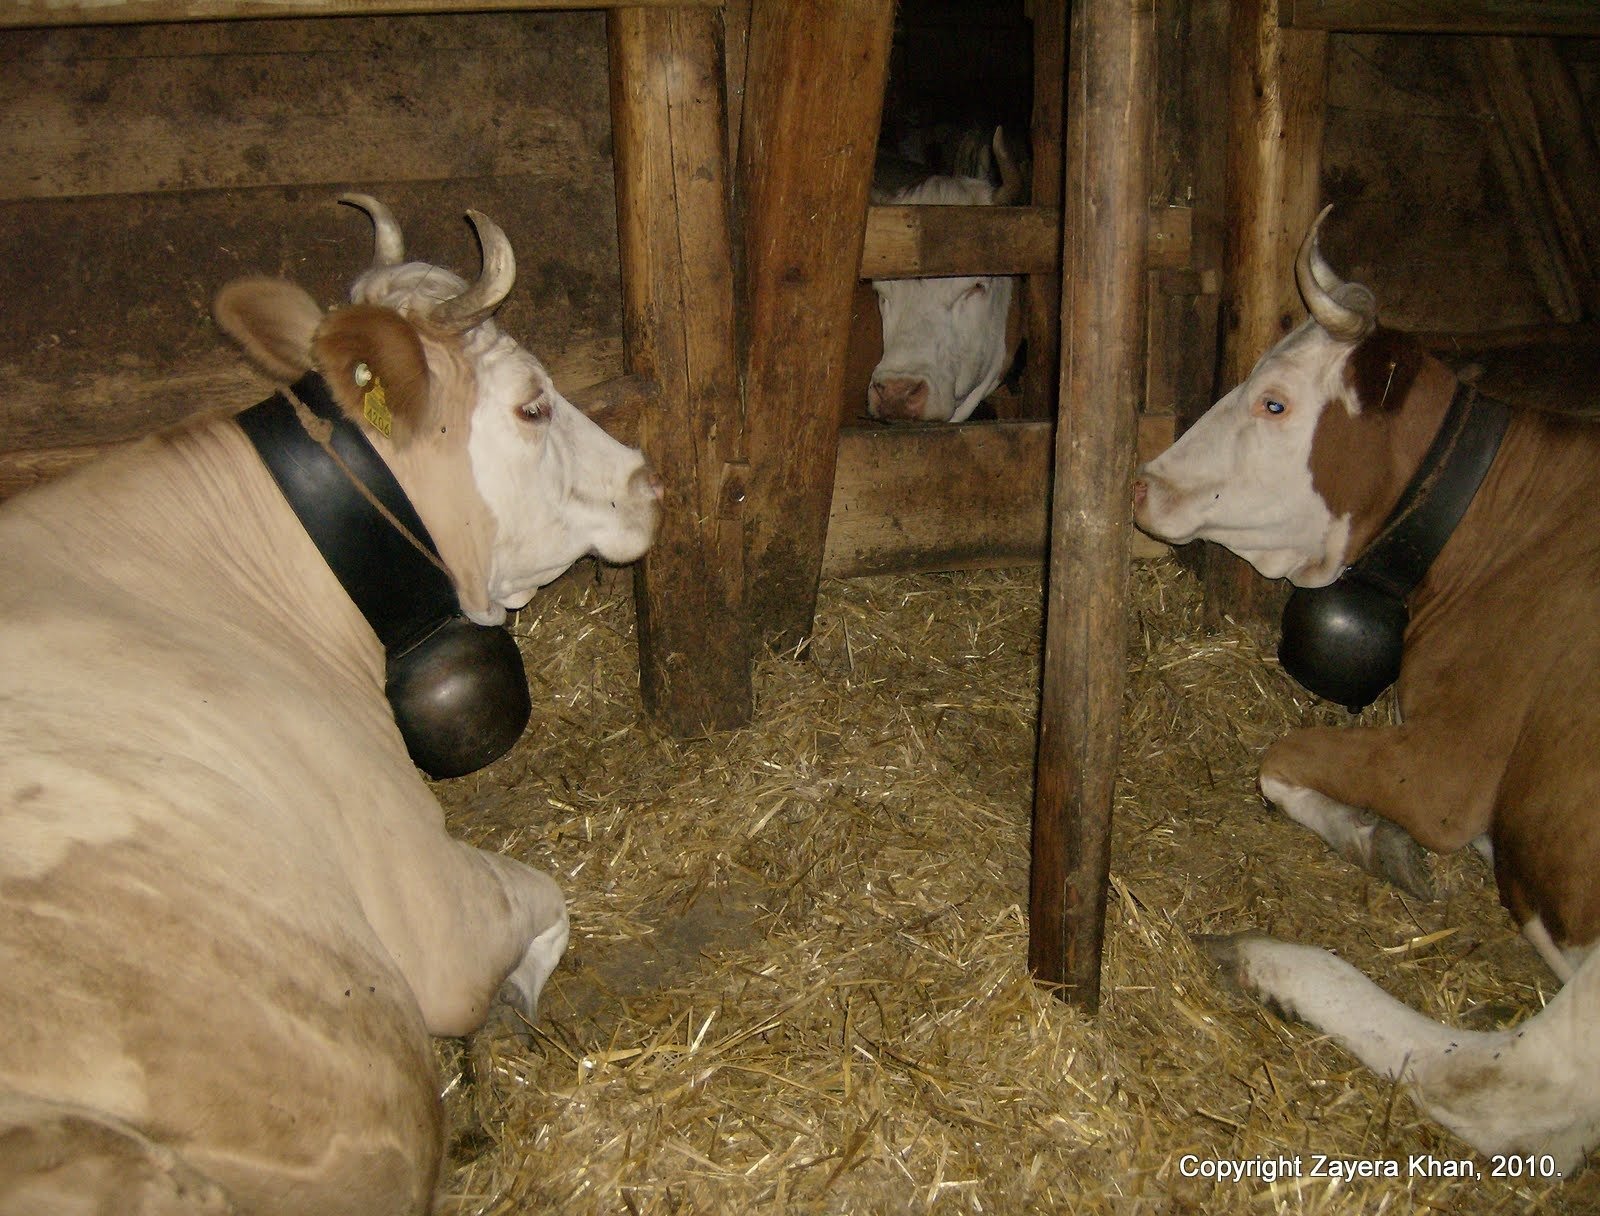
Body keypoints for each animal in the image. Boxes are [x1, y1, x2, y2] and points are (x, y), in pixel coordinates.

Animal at [1131, 207, 1600, 1174]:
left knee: (1500, 1086)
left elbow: (1281, 755)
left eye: (1275, 402)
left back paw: (1263, 958)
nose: (1144, 483)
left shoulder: (1450, 766)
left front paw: (1374, 838)